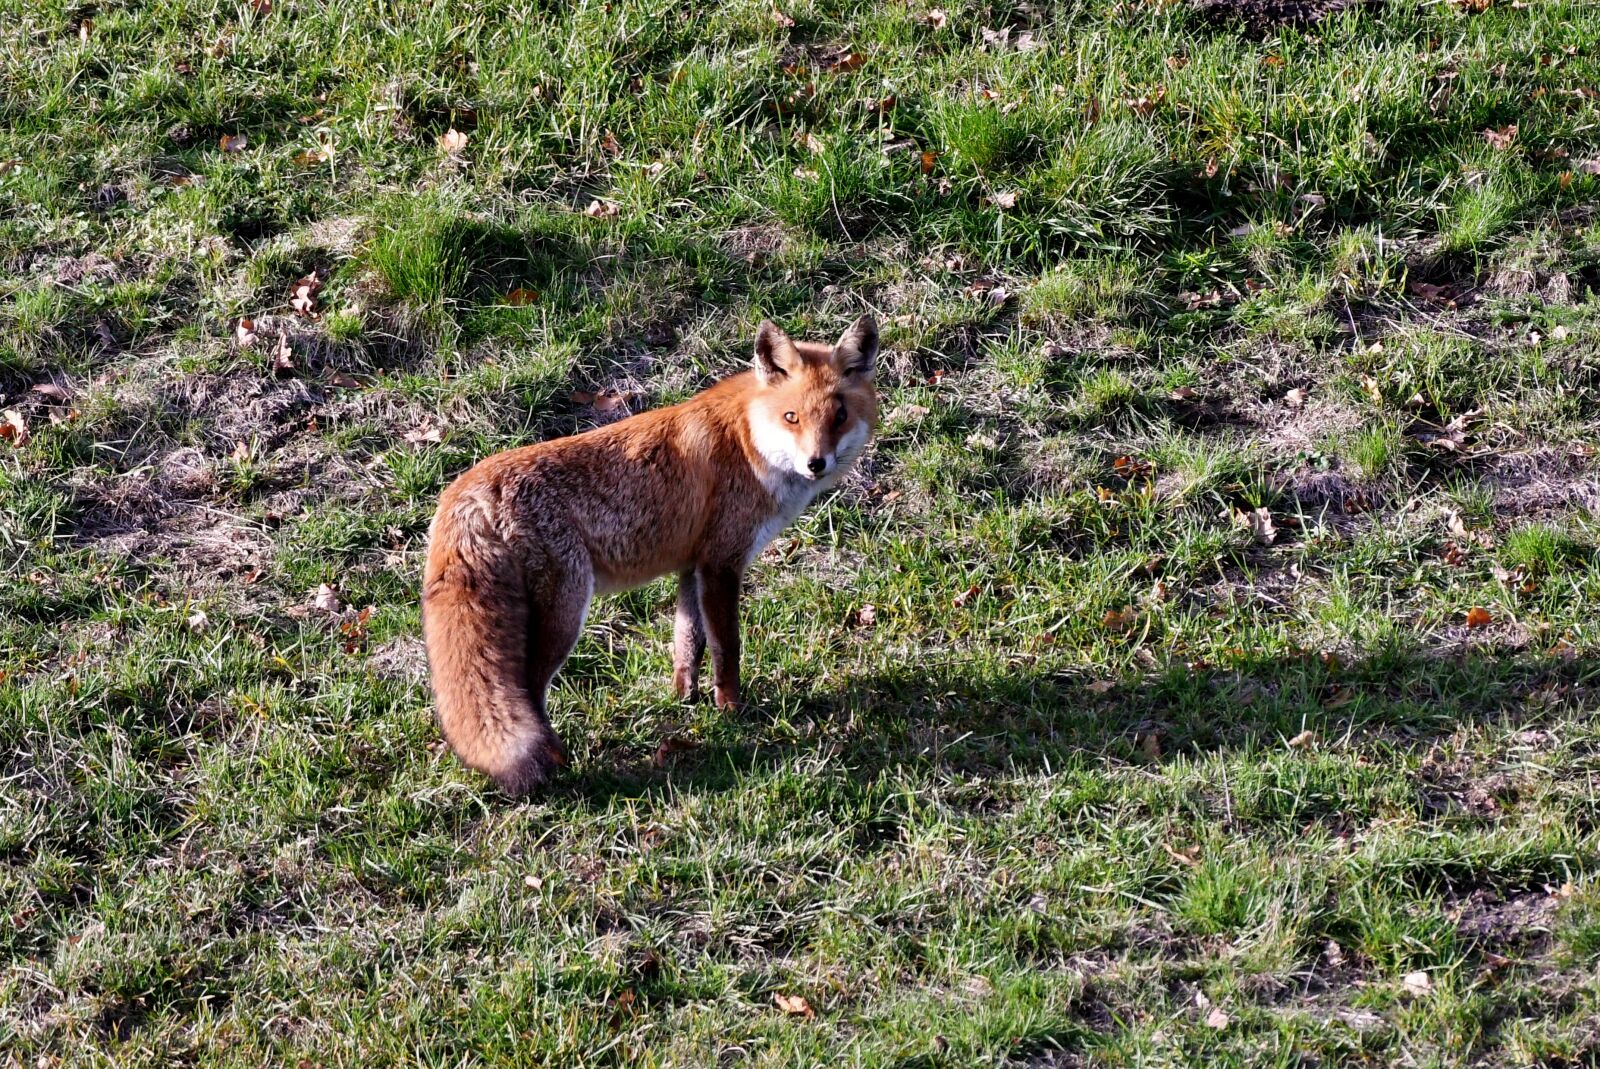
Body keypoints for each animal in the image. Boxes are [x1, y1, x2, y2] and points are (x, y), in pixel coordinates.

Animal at [421, 315, 879, 794]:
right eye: (792, 417)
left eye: (839, 417)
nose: (816, 463)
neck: (748, 441)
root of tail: (464, 492)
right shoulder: (721, 564)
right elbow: (727, 648)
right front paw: (732, 711)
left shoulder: (693, 567)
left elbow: (687, 642)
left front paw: (685, 699)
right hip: (566, 613)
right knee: (528, 690)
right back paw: (557, 761)